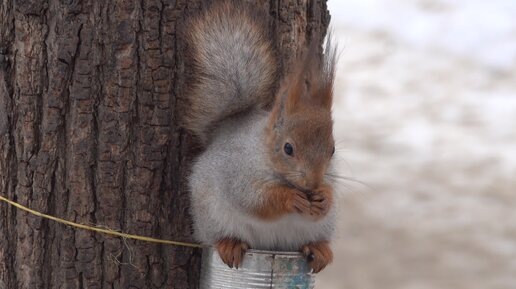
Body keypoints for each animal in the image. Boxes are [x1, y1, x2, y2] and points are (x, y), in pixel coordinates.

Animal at [182, 0, 338, 272]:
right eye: (288, 148)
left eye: (333, 149)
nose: (313, 184)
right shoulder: (238, 172)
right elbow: (254, 200)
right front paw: (290, 199)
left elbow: (331, 193)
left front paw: (324, 198)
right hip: (210, 216)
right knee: (217, 234)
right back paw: (229, 243)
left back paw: (319, 249)